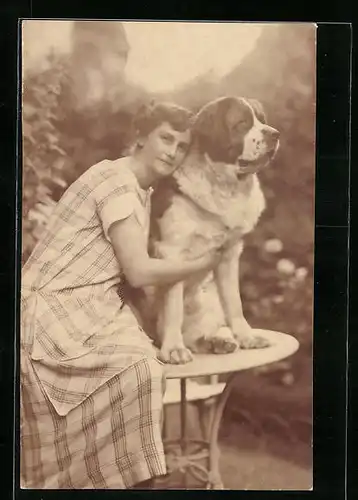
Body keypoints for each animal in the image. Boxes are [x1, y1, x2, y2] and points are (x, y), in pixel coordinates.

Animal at [143, 95, 280, 366]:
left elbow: (234, 302)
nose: (274, 134)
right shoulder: (172, 252)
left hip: (207, 297)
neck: (223, 186)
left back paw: (216, 342)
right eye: (242, 123)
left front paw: (247, 337)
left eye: (262, 119)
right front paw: (173, 349)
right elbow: (172, 306)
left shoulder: (228, 255)